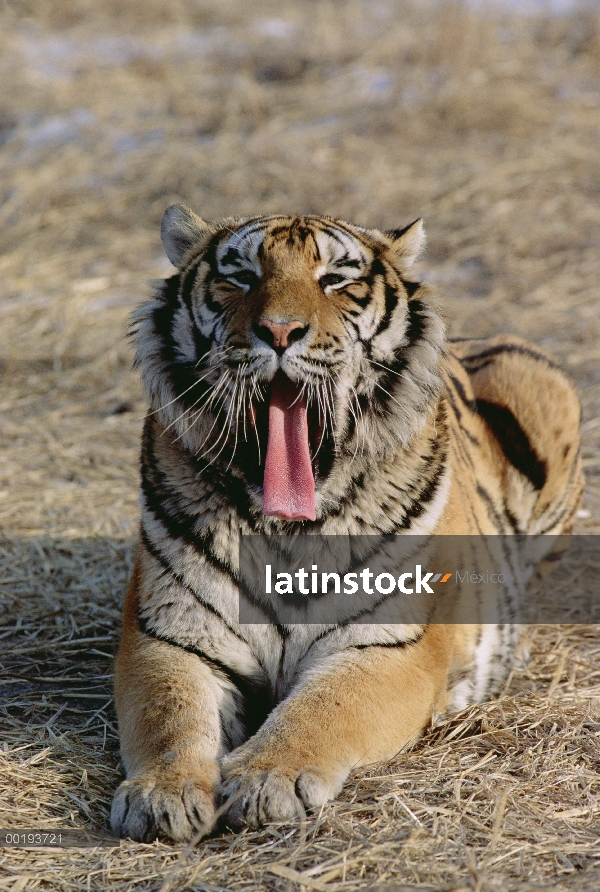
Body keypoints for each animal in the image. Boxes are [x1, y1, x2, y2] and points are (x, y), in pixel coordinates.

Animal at [110, 206, 584, 840]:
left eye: (335, 280)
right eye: (239, 277)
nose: (279, 332)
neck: (284, 529)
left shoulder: (387, 645)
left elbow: (323, 711)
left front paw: (267, 779)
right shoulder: (169, 637)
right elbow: (169, 713)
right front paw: (161, 794)